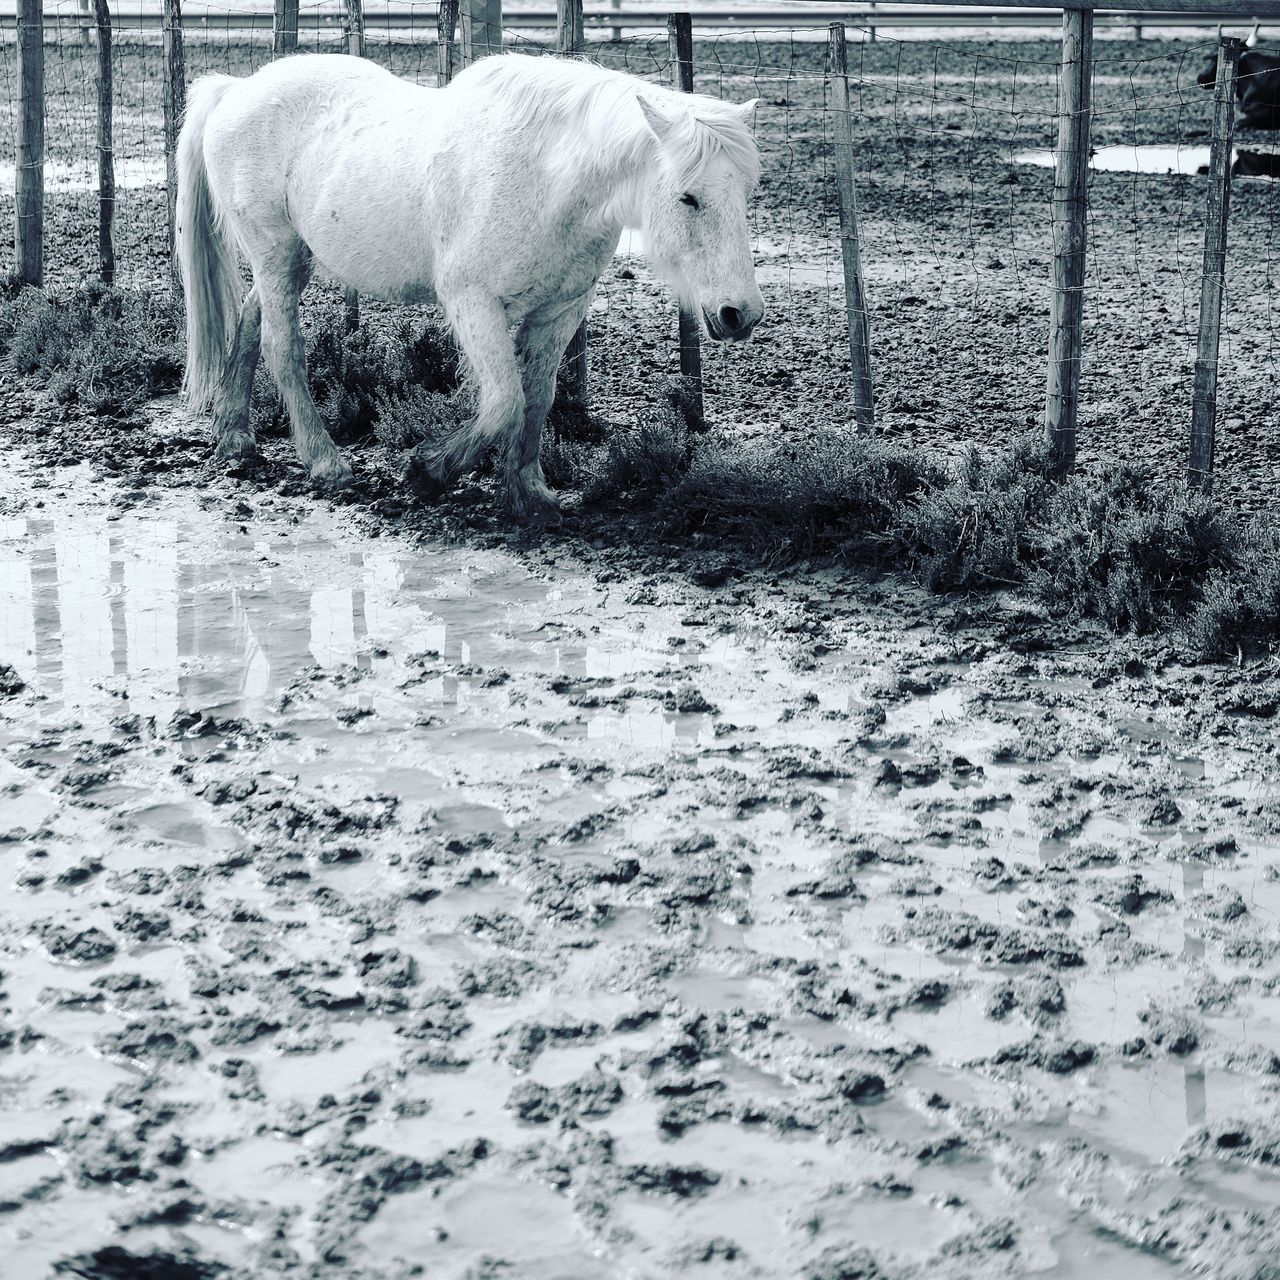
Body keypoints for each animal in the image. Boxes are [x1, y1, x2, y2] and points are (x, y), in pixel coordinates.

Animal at [175, 49, 762, 519]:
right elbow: (504, 401)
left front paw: (529, 494)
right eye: (688, 197)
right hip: (276, 253)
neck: (545, 179)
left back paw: (235, 436)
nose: (741, 314)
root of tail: (236, 89)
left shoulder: (560, 310)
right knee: (284, 349)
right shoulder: (472, 302)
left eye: (745, 193)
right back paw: (325, 462)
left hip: (290, 261)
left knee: (251, 321)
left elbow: (538, 398)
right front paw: (428, 472)